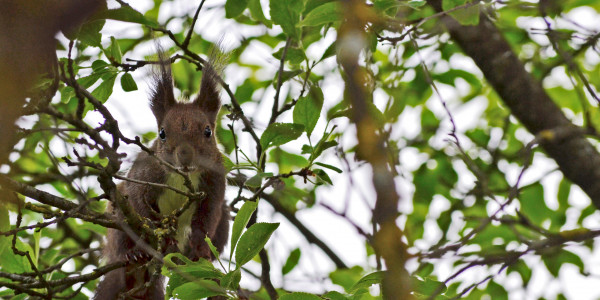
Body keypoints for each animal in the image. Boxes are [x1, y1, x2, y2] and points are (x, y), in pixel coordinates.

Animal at [94, 49, 230, 300]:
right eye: (162, 133)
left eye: (208, 131)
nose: (185, 157)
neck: (183, 178)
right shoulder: (144, 175)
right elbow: (140, 205)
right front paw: (160, 236)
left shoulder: (215, 183)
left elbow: (208, 216)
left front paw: (200, 247)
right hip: (117, 218)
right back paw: (133, 254)